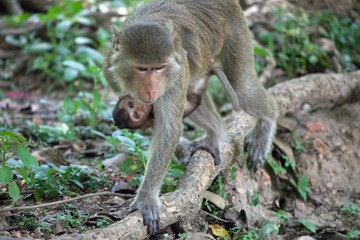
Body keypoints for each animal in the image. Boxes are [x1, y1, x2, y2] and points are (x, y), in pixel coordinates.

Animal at [102, 0, 278, 235]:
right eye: (142, 69)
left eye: (159, 68)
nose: (151, 90)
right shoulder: (110, 74)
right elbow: (162, 123)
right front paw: (182, 150)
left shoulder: (176, 73)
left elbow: (169, 127)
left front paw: (146, 200)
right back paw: (216, 134)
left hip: (236, 30)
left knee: (243, 89)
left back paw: (267, 123)